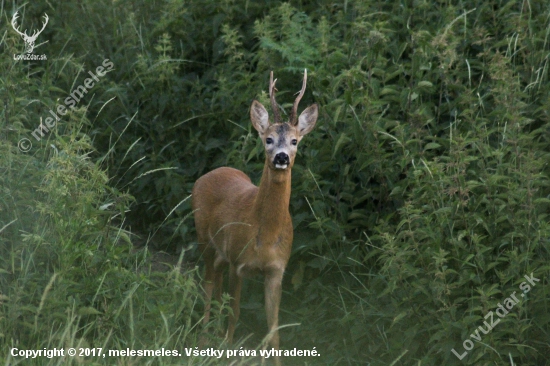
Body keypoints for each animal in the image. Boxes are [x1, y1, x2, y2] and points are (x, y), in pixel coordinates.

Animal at [193, 68, 320, 364]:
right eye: (268, 139)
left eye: (295, 140)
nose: (282, 157)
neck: (265, 235)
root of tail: (212, 172)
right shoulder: (238, 262)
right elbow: (235, 312)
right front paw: (227, 351)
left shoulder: (276, 270)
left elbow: (273, 329)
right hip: (204, 238)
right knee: (208, 286)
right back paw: (204, 337)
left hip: (221, 252)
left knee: (215, 284)